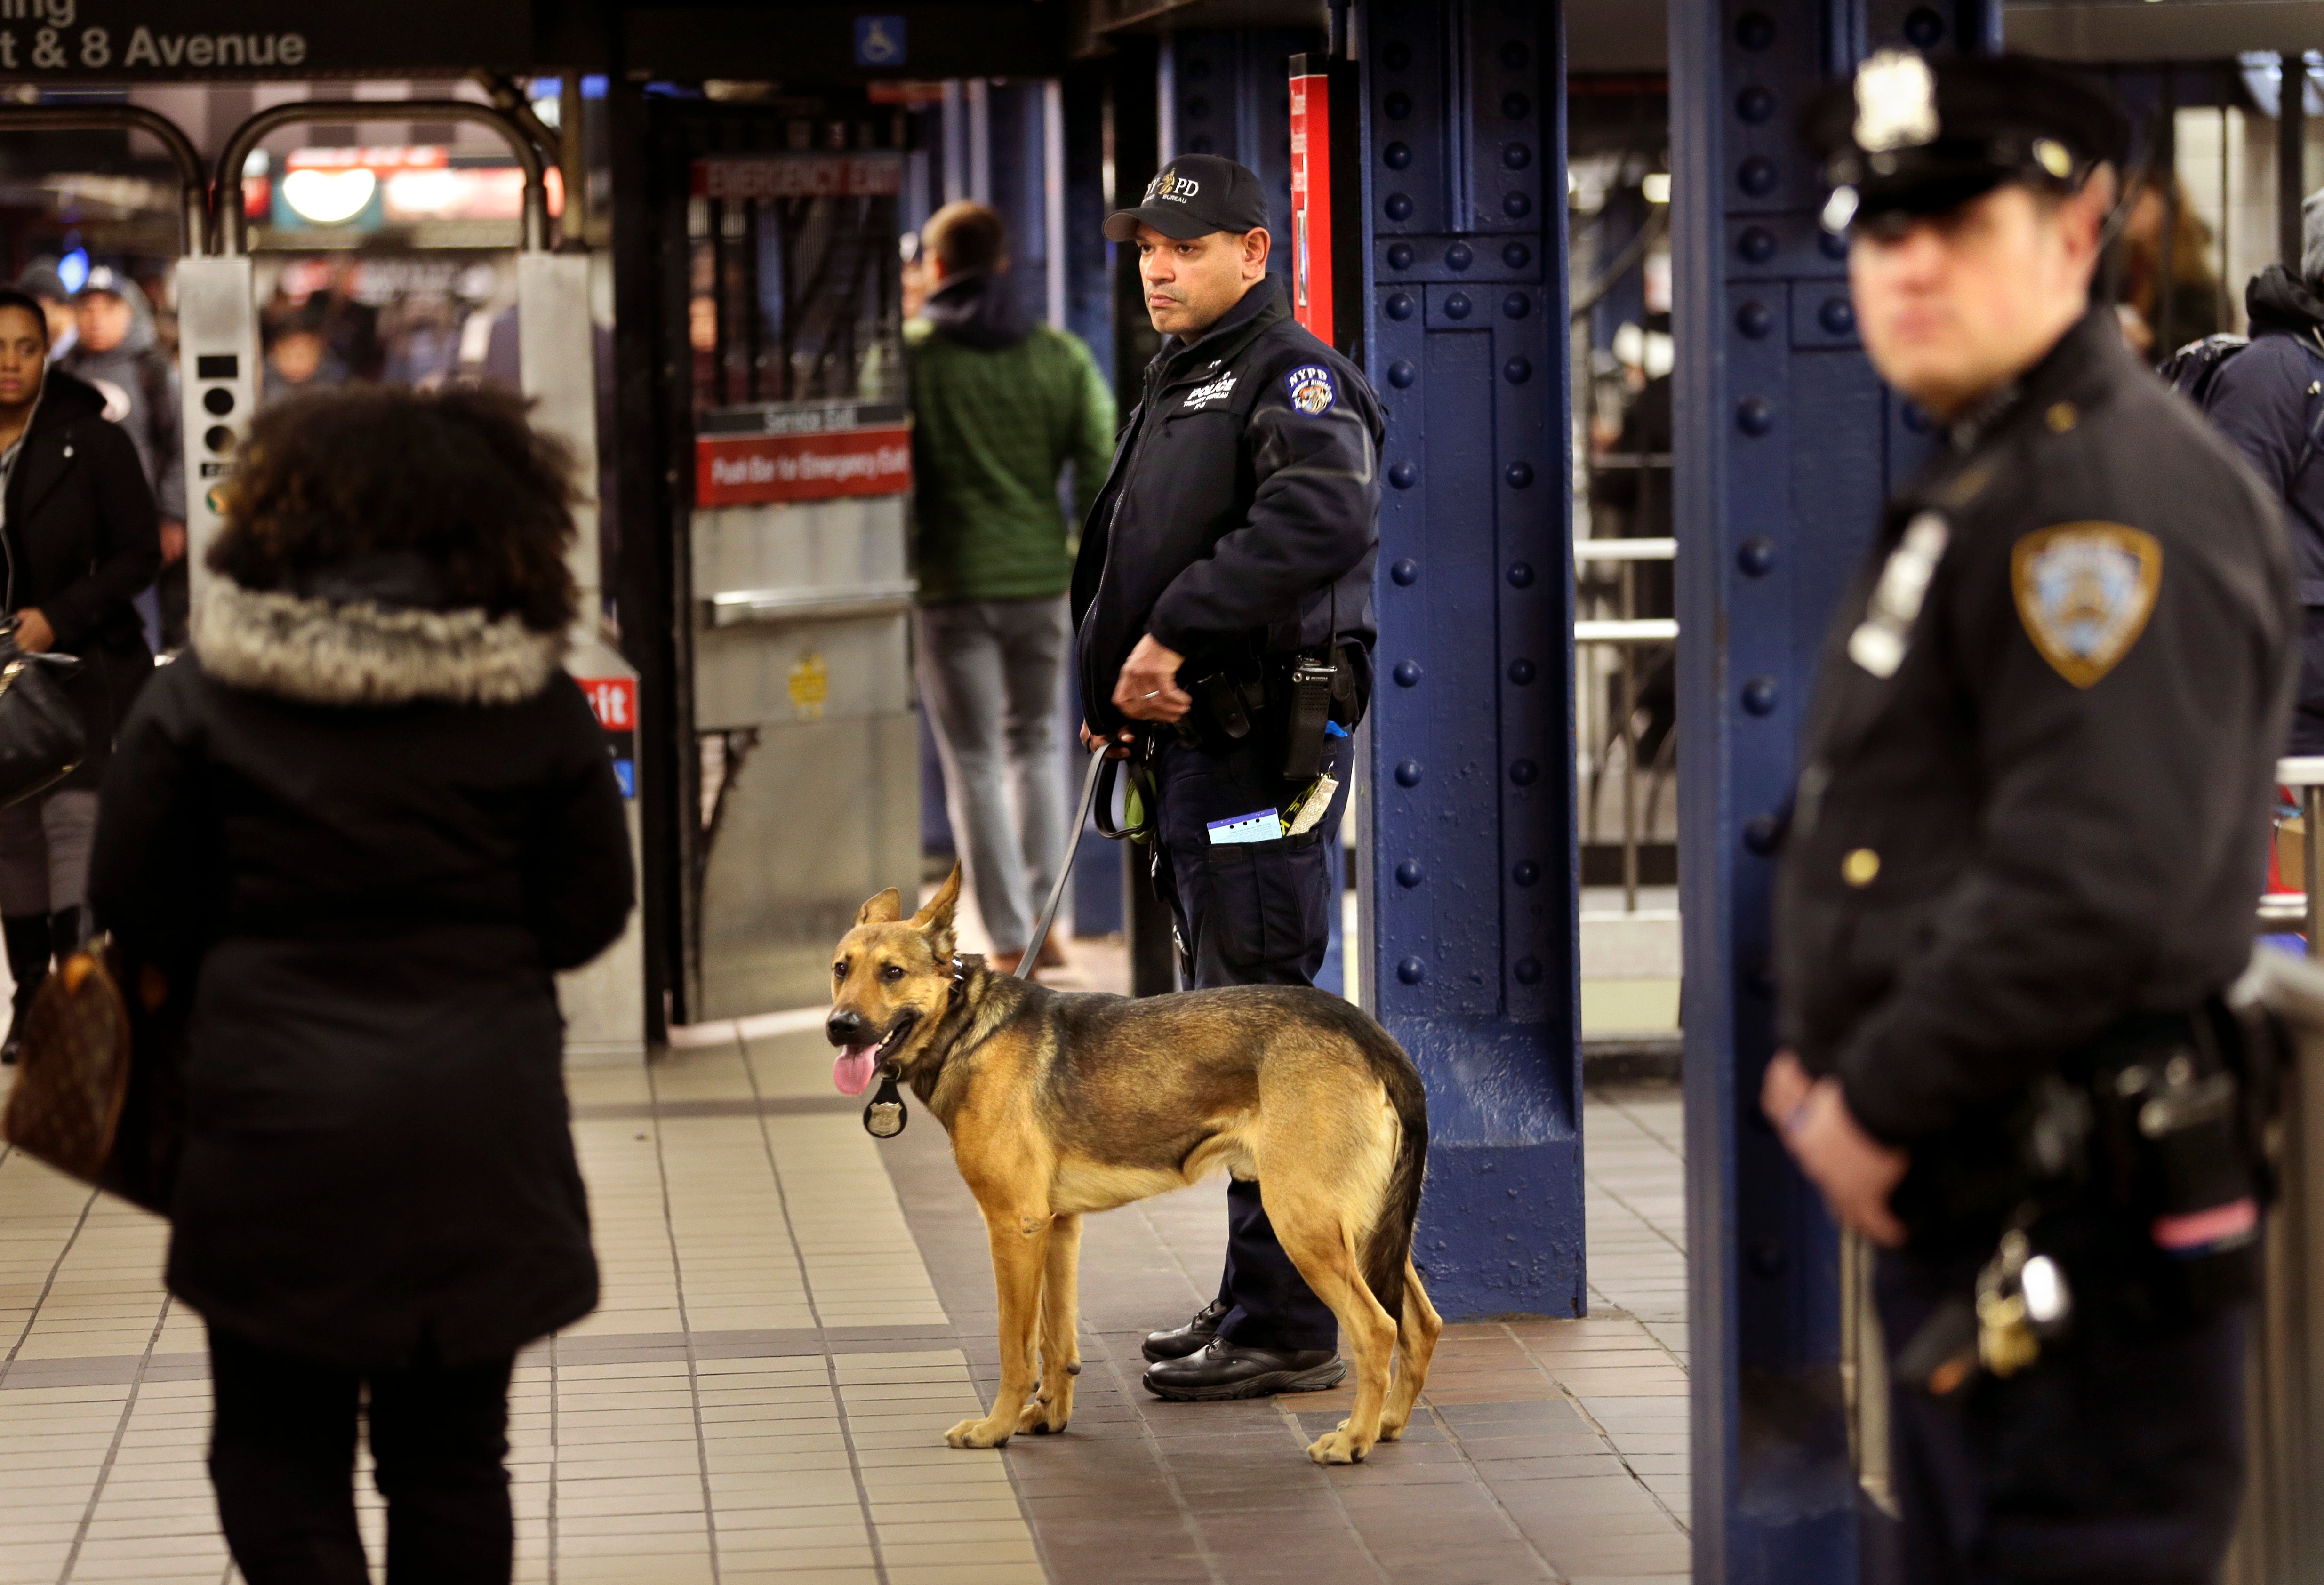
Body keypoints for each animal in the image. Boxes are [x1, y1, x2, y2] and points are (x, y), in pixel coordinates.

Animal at [818, 865, 1431, 1459]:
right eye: (841, 968)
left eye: (893, 972)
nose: (838, 1025)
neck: (967, 1024)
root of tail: (1368, 1031)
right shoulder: (1056, 1226)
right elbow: (1056, 1339)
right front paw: (1048, 1415)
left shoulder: (1014, 1225)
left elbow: (1015, 1346)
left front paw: (996, 1427)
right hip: (1362, 1226)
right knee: (1421, 1324)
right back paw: (1389, 1424)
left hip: (1303, 1221)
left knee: (1378, 1329)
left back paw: (1353, 1440)